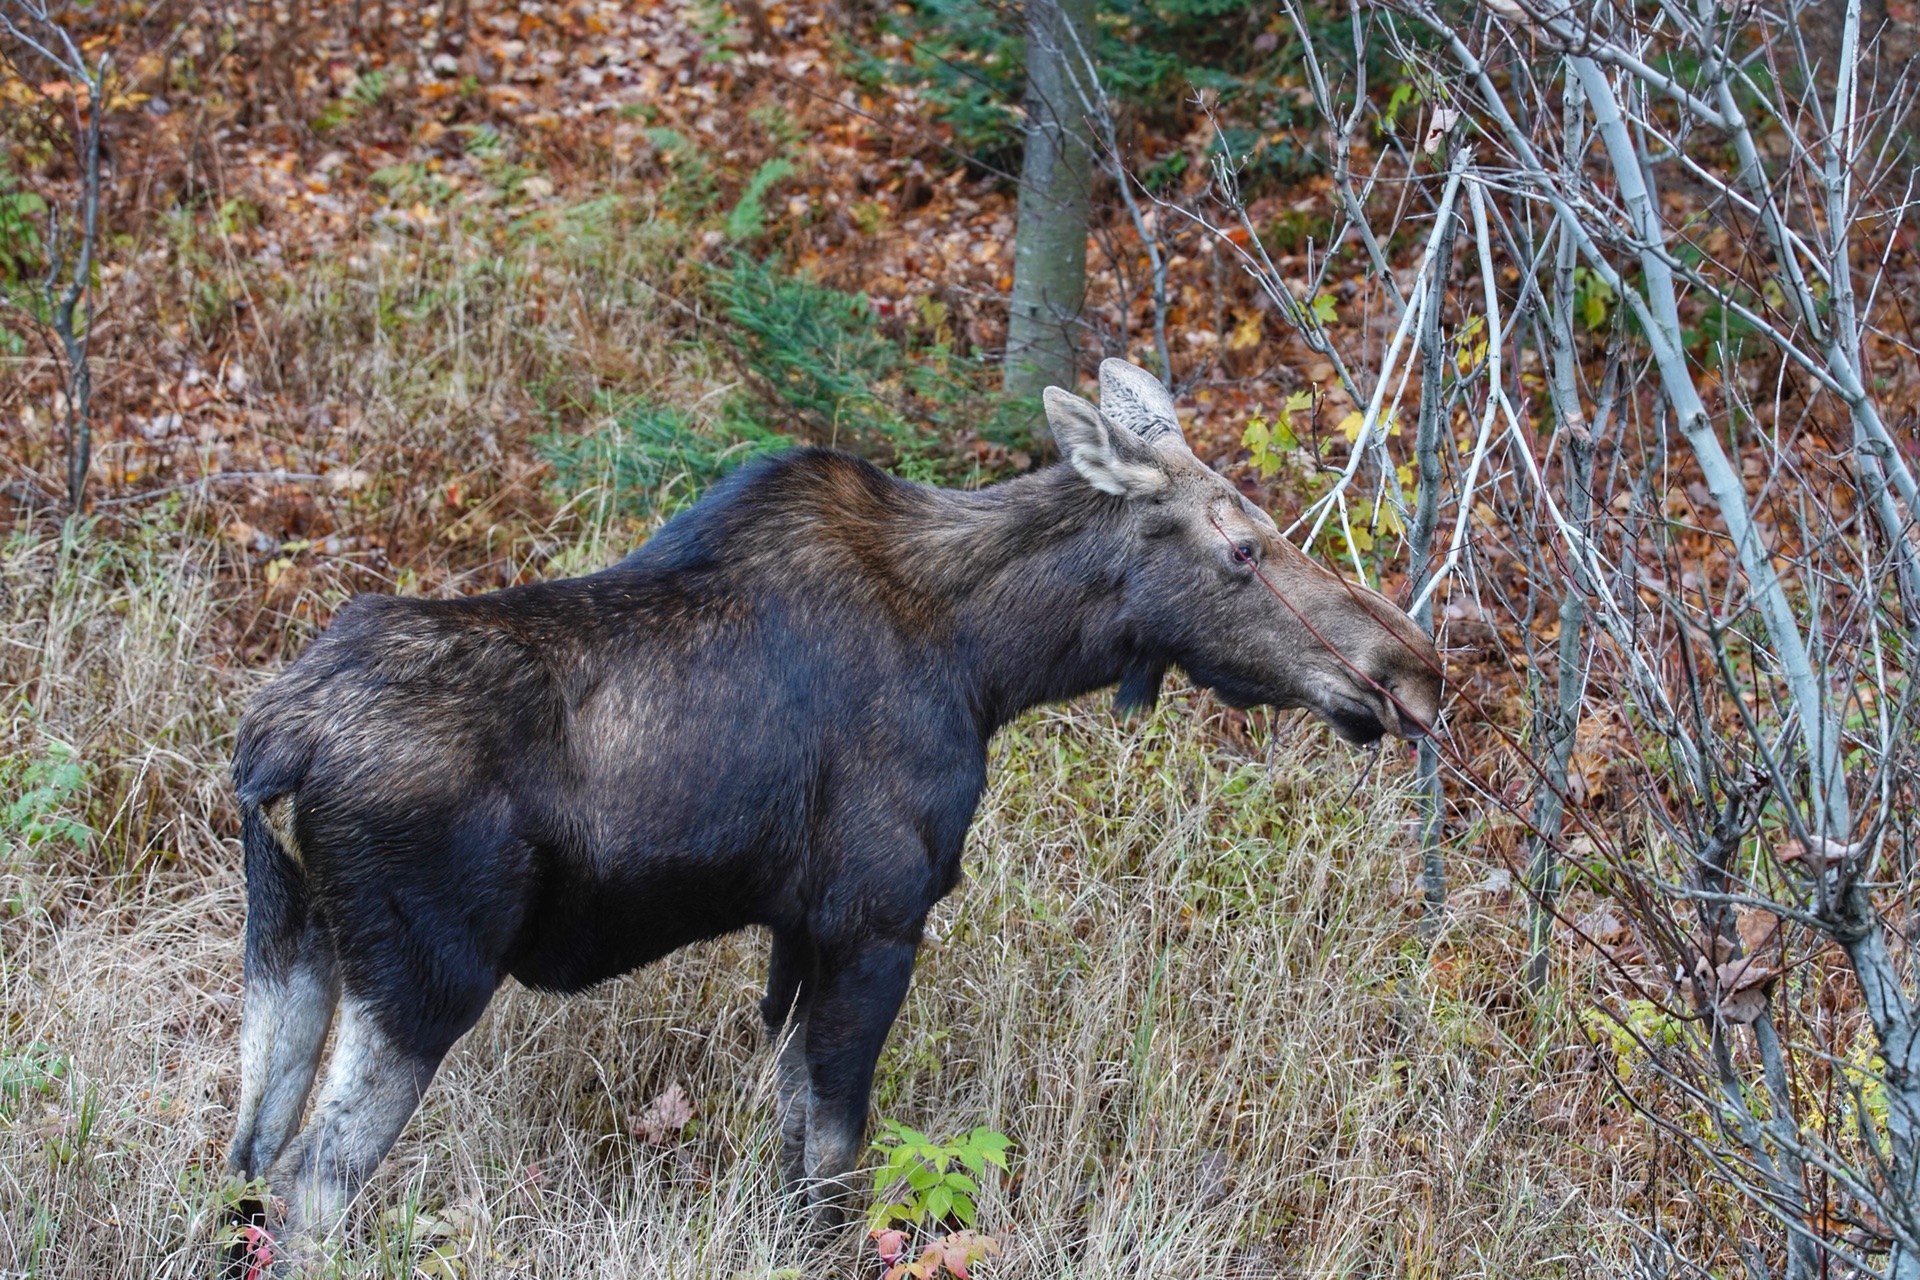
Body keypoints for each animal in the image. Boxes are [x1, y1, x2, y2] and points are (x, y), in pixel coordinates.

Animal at [224, 358, 1443, 1243]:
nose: (1413, 668)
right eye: (1242, 547)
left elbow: (791, 1145)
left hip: (293, 945)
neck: (992, 663)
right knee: (311, 1185)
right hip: (424, 974)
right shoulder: (874, 915)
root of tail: (272, 748)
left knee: (245, 1159)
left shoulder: (795, 929)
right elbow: (835, 1159)